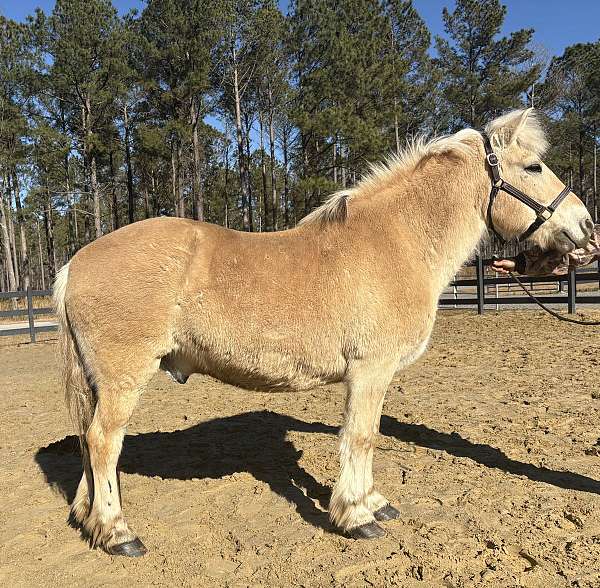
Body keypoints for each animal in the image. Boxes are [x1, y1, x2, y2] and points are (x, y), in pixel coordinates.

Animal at [55, 109, 592, 556]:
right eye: (534, 168)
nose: (586, 227)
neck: (396, 242)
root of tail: (77, 262)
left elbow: (369, 436)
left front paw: (374, 503)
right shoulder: (370, 371)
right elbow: (361, 437)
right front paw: (356, 516)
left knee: (87, 439)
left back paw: (89, 518)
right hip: (124, 379)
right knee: (103, 442)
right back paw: (118, 532)